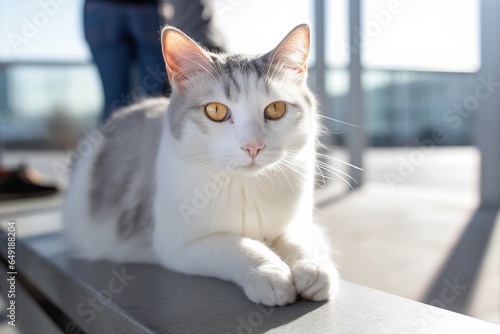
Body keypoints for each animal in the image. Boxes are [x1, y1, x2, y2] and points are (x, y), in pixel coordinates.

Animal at [63, 22, 340, 306]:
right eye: (216, 111)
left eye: (275, 109)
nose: (252, 146)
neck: (245, 186)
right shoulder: (181, 245)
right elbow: (237, 245)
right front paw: (269, 271)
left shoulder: (298, 223)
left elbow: (302, 241)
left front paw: (314, 268)